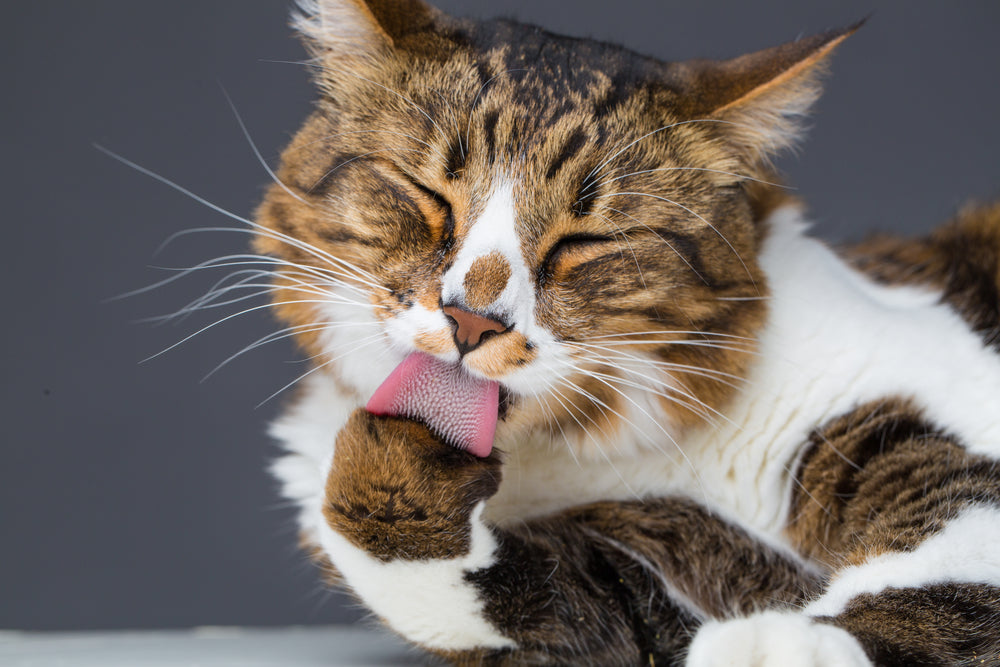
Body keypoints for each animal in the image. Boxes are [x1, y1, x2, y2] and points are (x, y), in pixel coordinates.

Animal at [252, 1, 1000, 667]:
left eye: (585, 241)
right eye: (426, 193)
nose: (472, 319)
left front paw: (787, 644)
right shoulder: (630, 583)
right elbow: (564, 598)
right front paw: (399, 464)